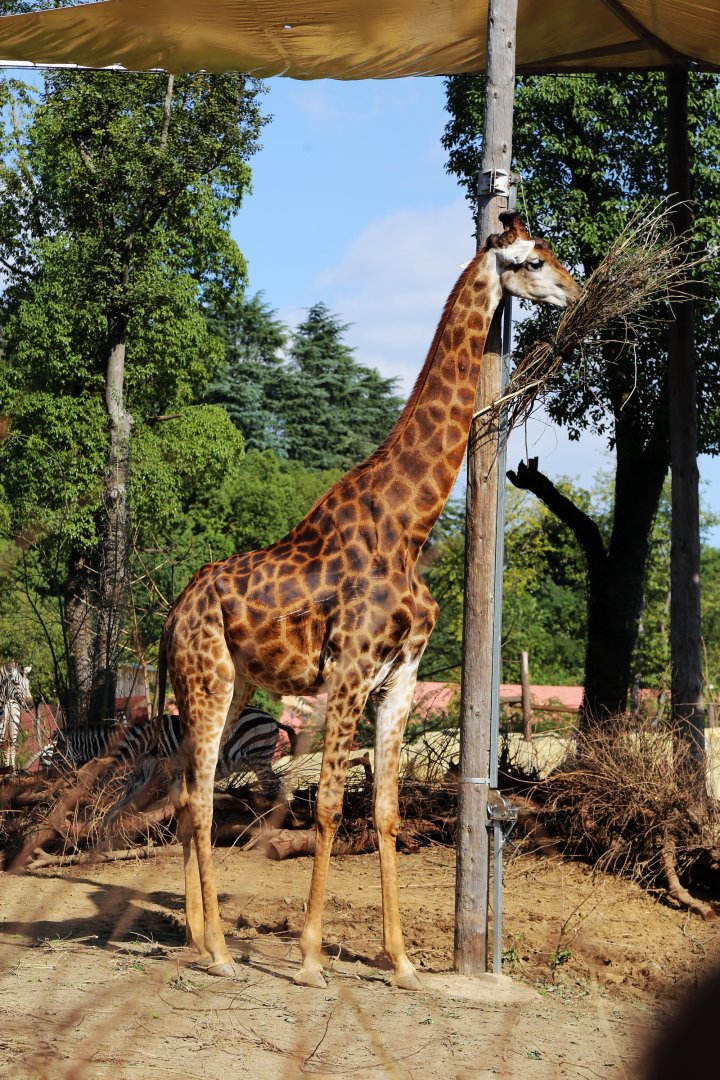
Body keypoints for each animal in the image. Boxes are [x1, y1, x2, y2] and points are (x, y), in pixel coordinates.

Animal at [160, 212, 581, 990]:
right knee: (201, 799)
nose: (575, 290)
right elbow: (328, 806)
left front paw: (403, 962)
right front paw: (309, 959)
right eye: (535, 261)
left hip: (231, 685)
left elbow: (383, 810)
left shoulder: (402, 674)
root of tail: (173, 613)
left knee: (185, 794)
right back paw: (224, 954)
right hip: (207, 679)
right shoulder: (350, 669)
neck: (408, 526)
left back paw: (199, 940)